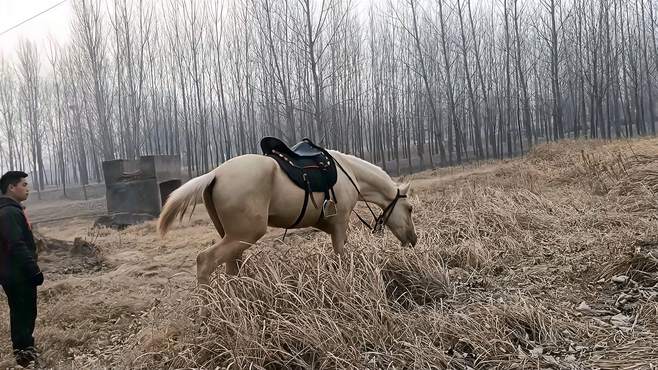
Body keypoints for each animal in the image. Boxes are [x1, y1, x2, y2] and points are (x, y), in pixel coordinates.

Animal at [157, 145, 418, 290]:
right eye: (410, 209)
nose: (413, 240)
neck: (349, 172)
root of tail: (215, 174)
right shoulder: (339, 224)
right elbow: (342, 257)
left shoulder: (328, 225)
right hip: (245, 234)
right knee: (205, 261)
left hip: (233, 237)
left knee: (231, 267)